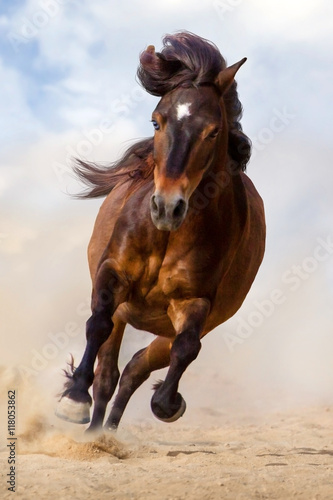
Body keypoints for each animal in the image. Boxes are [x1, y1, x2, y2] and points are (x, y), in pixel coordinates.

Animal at [55, 31, 266, 432]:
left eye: (213, 131)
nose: (167, 207)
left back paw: (110, 432)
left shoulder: (194, 303)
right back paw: (93, 430)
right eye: (156, 122)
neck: (166, 237)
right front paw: (74, 400)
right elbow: (97, 324)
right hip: (126, 313)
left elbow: (187, 348)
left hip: (169, 329)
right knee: (108, 372)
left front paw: (169, 403)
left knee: (135, 369)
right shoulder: (112, 274)